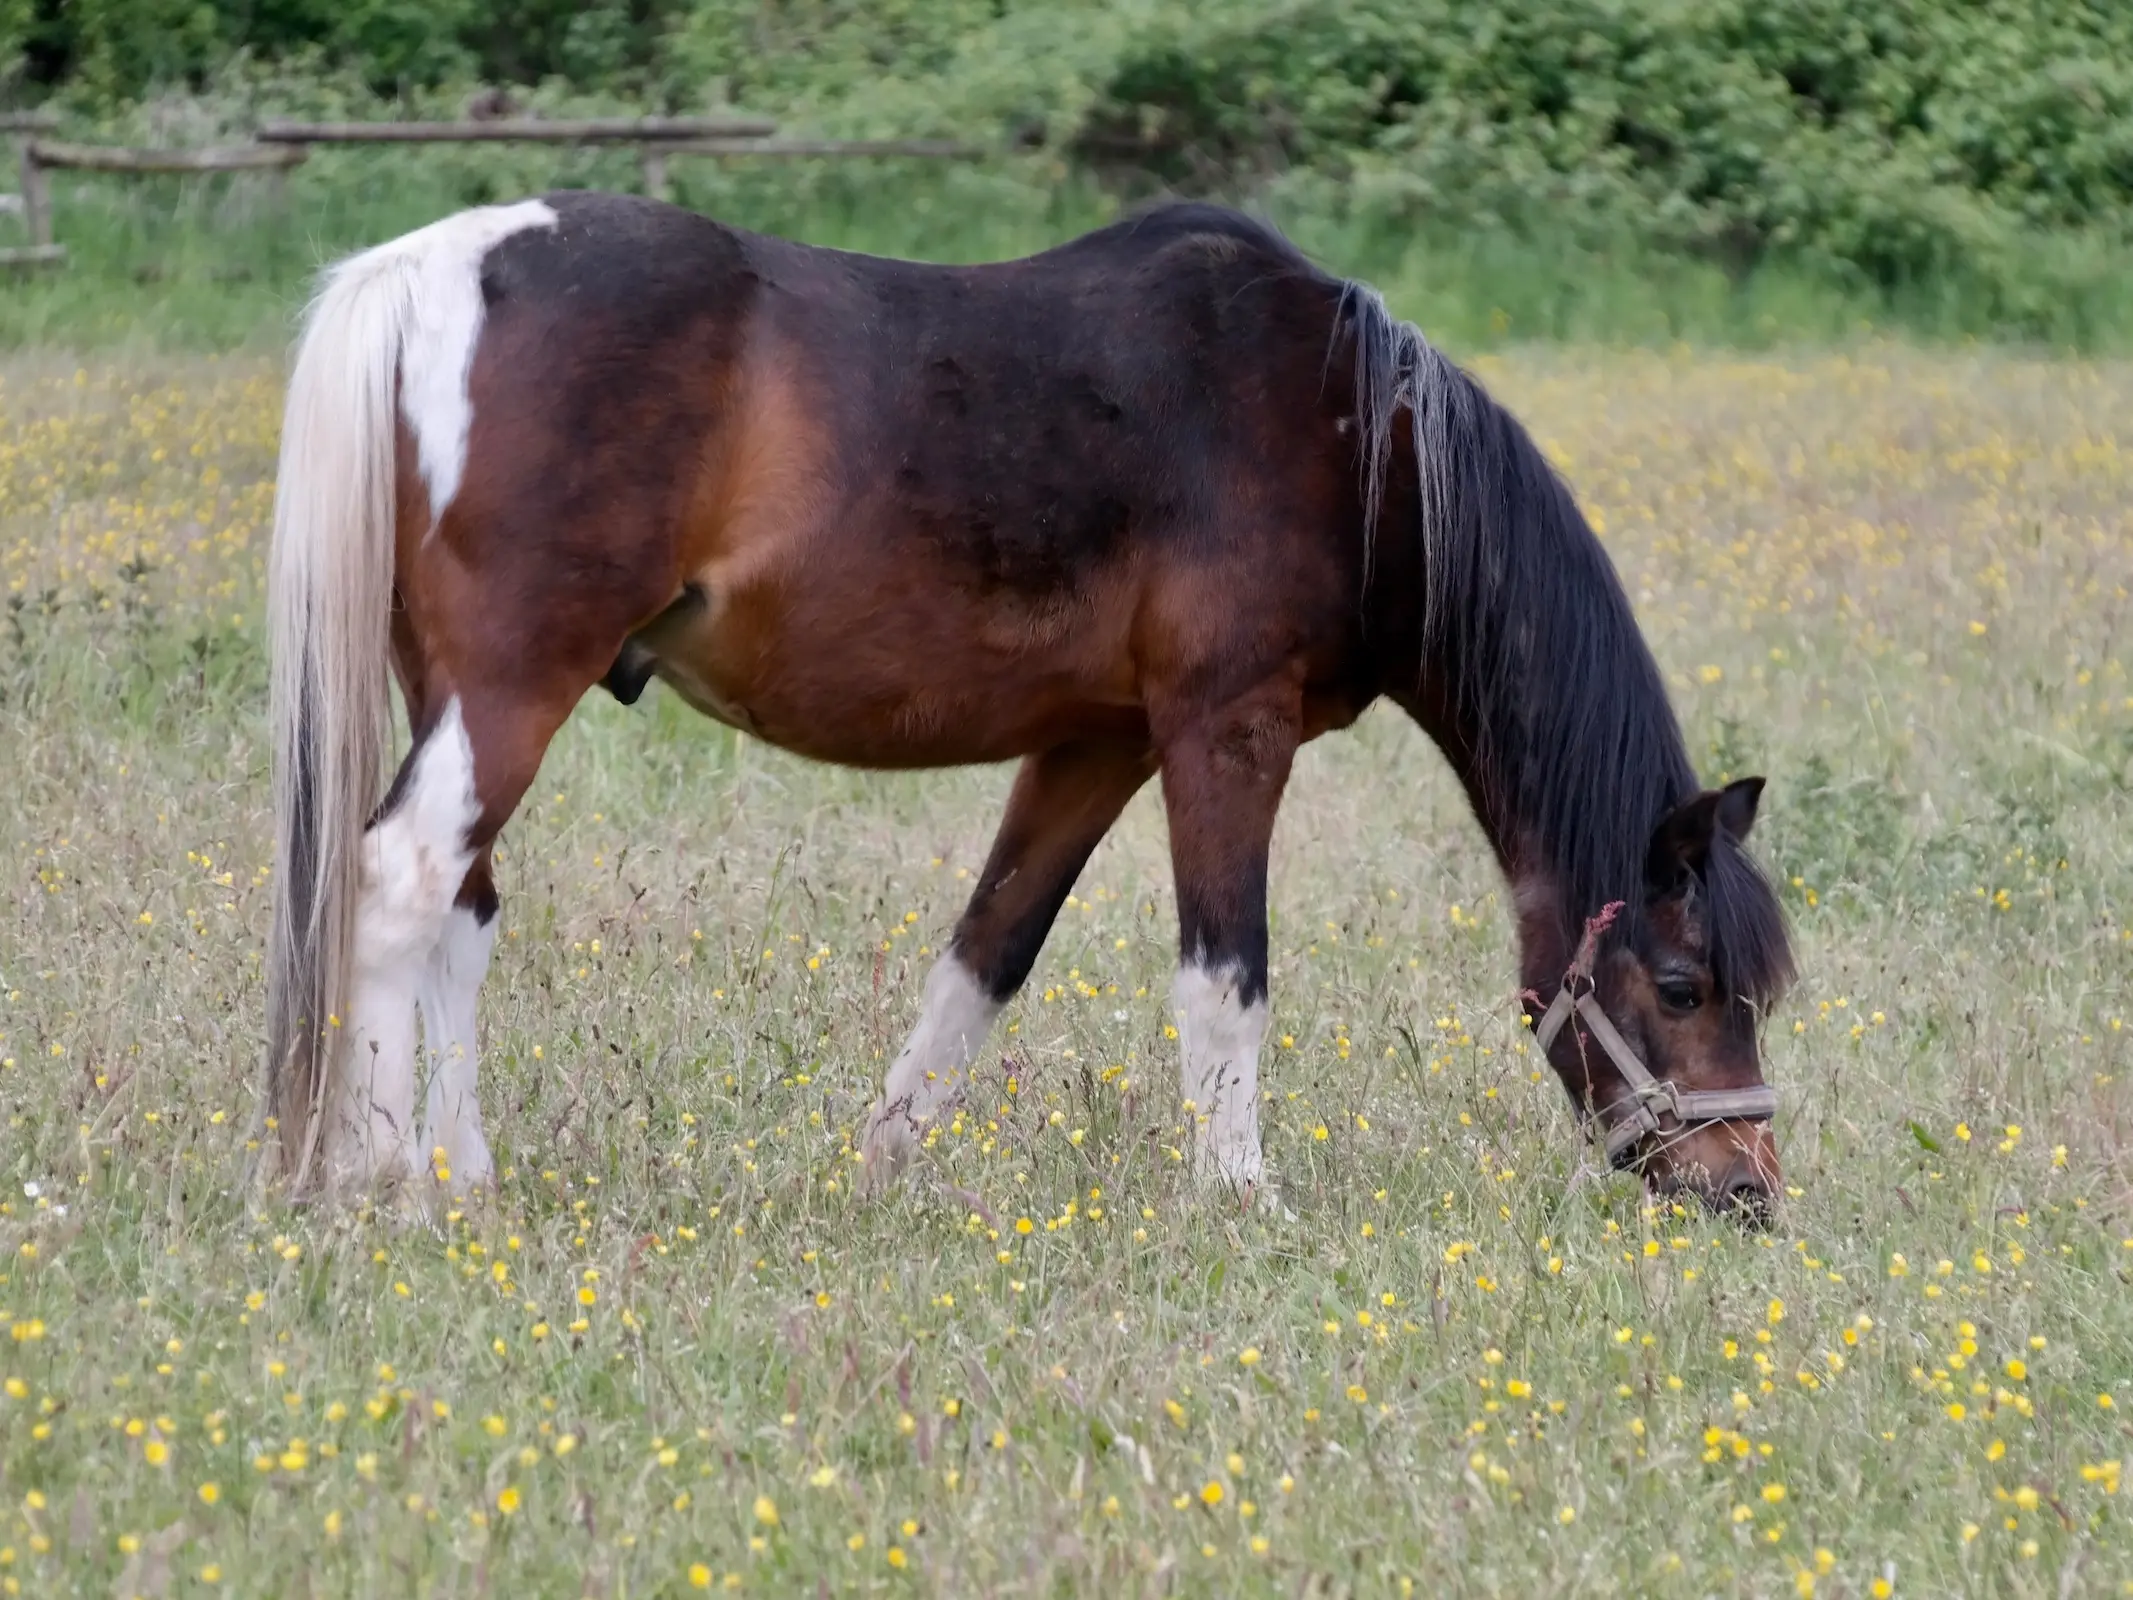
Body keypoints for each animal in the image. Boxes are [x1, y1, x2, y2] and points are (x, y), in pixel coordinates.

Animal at [266, 194, 1800, 1220]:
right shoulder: (1223, 731)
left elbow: (983, 960)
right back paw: (386, 1178)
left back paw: (466, 1180)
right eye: (1680, 985)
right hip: (514, 688)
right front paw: (1241, 1202)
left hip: (458, 692)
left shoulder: (1091, 745)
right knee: (399, 880)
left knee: (461, 908)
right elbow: (1225, 976)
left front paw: (877, 1172)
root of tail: (429, 270)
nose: (1745, 1186)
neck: (1353, 439)